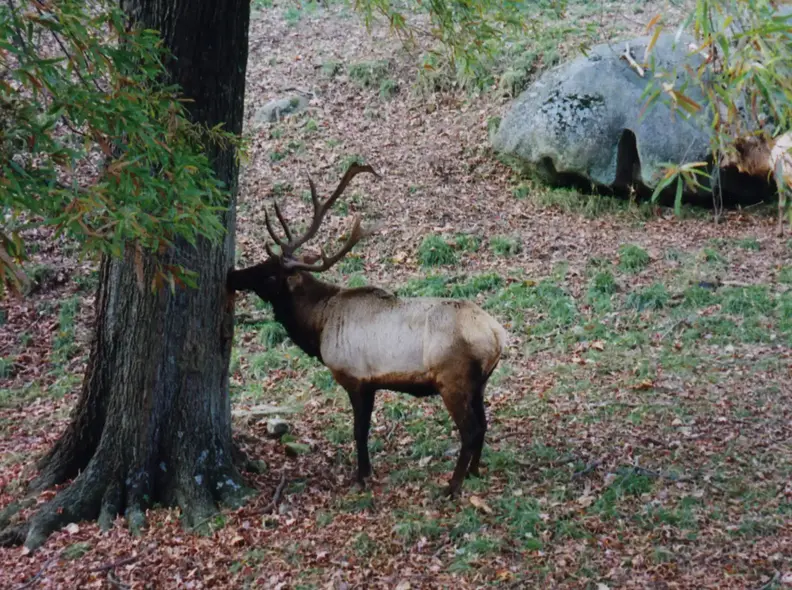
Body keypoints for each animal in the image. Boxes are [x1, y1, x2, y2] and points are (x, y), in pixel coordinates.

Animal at [227, 164, 508, 498]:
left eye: (269, 274)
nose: (233, 276)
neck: (318, 325)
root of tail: (497, 336)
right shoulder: (371, 383)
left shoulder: (356, 378)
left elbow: (359, 431)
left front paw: (361, 476)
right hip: (480, 383)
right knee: (484, 424)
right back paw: (475, 472)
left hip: (453, 379)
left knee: (471, 429)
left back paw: (452, 486)